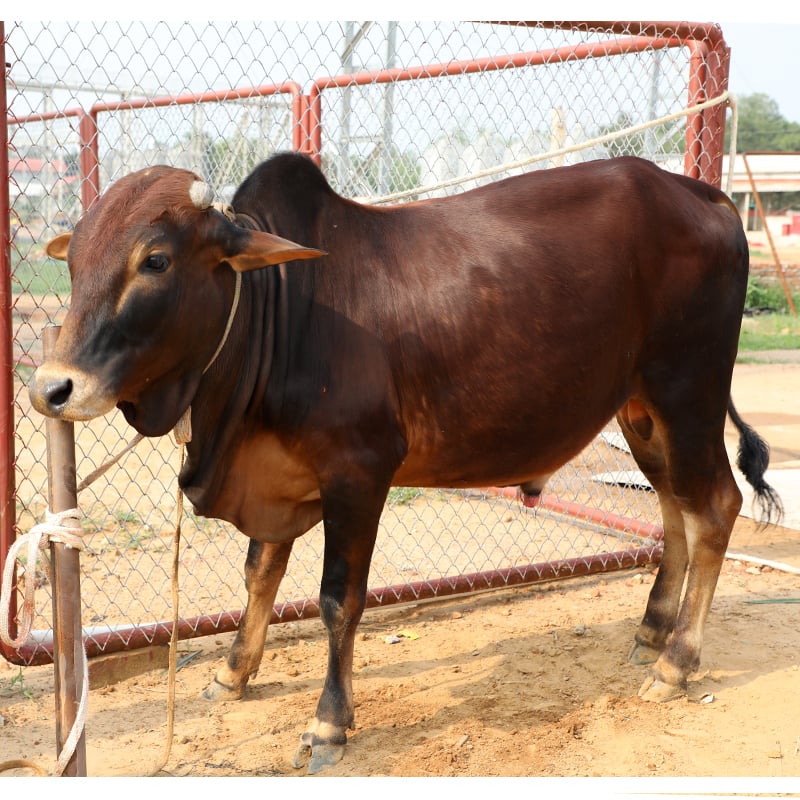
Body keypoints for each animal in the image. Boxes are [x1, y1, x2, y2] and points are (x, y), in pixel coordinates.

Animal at [29, 152, 781, 774]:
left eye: (154, 260)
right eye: (74, 259)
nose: (51, 389)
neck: (281, 312)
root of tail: (705, 194)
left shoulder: (358, 474)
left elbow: (338, 600)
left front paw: (328, 725)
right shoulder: (279, 475)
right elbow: (259, 573)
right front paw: (233, 674)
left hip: (688, 393)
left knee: (716, 507)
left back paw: (677, 665)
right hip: (641, 413)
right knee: (675, 511)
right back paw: (652, 632)